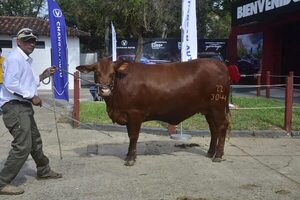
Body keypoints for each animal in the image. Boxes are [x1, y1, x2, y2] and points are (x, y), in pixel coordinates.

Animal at [76, 57, 231, 166]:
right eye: (96, 72)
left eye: (112, 73)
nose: (105, 90)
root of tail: (219, 64)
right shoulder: (127, 115)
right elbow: (130, 135)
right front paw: (128, 155)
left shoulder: (134, 113)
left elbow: (133, 136)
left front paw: (131, 159)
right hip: (208, 110)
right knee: (213, 129)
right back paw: (210, 152)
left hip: (217, 107)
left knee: (222, 127)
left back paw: (218, 155)